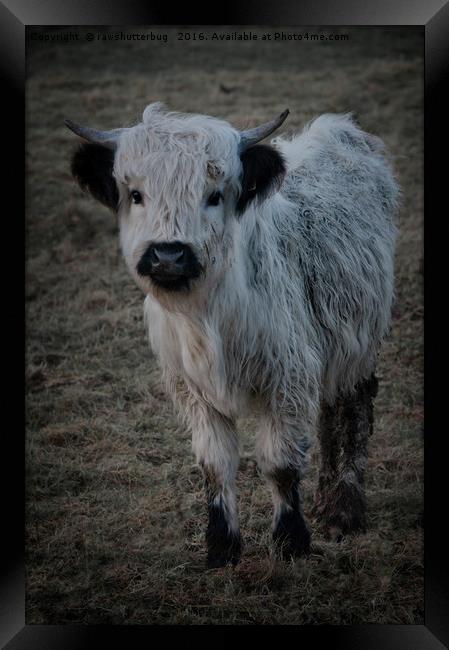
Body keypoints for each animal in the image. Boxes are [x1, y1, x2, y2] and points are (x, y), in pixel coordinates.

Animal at [65, 104, 396, 564]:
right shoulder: (193, 390)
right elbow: (215, 464)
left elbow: (279, 462)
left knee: (353, 410)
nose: (168, 255)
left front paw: (291, 542)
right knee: (331, 415)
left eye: (214, 195)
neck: (209, 319)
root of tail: (340, 128)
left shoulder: (288, 379)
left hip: (361, 339)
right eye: (135, 194)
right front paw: (222, 546)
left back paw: (342, 512)